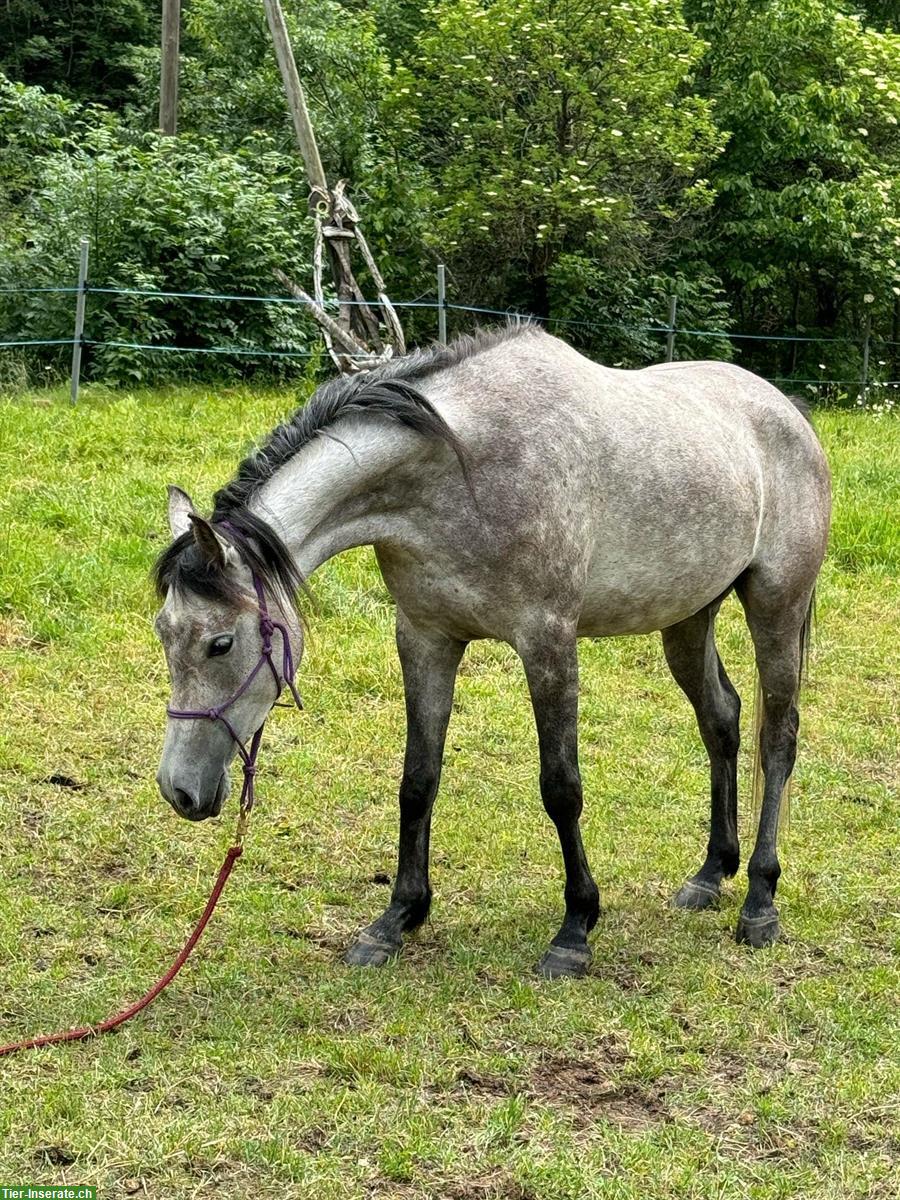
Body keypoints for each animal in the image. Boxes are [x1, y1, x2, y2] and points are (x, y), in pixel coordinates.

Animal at [153, 326, 830, 974]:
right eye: (163, 631)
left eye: (220, 643)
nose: (178, 791)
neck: (461, 472)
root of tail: (788, 412)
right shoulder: (425, 638)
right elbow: (417, 780)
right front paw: (396, 919)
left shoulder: (547, 642)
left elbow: (561, 788)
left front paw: (575, 931)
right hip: (688, 619)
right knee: (722, 720)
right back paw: (712, 874)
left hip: (776, 606)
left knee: (778, 738)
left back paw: (760, 902)